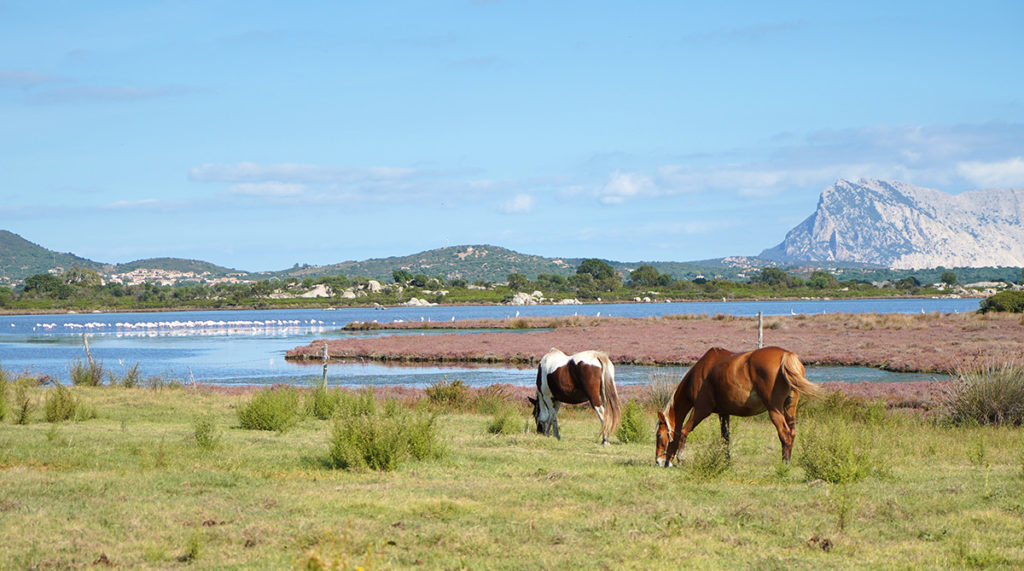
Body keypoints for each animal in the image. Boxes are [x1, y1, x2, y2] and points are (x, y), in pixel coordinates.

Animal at [655, 347, 823, 468]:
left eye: (659, 435)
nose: (659, 461)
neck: (701, 372)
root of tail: (786, 355)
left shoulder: (701, 410)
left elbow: (684, 431)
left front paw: (680, 458)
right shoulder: (724, 413)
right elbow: (725, 438)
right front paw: (726, 461)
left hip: (774, 409)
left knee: (784, 433)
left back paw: (785, 464)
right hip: (790, 408)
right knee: (792, 433)